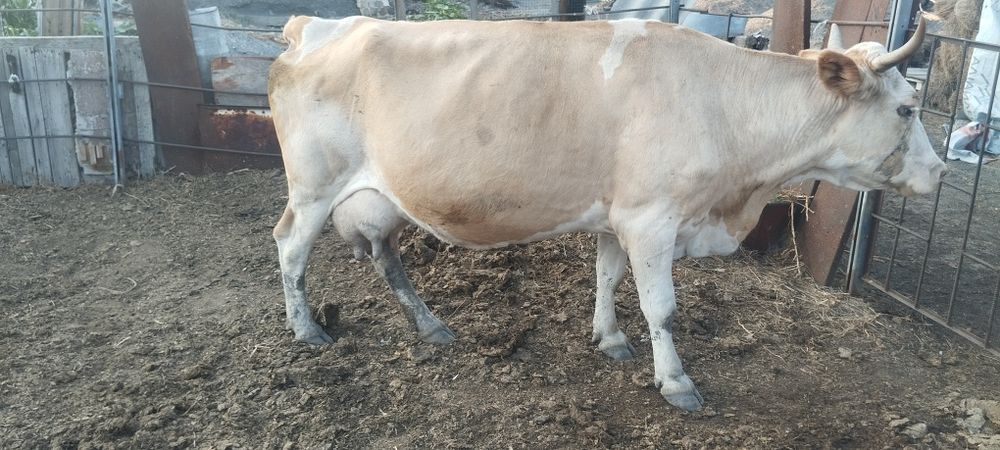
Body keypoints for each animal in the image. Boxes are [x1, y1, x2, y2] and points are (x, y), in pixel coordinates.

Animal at [268, 15, 945, 411]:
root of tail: (318, 24)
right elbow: (661, 307)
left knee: (386, 258)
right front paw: (676, 382)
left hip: (379, 200)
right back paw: (307, 330)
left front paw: (610, 338)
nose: (938, 173)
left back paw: (431, 327)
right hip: (313, 185)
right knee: (290, 247)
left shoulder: (621, 217)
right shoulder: (652, 218)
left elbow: (608, 278)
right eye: (908, 108)